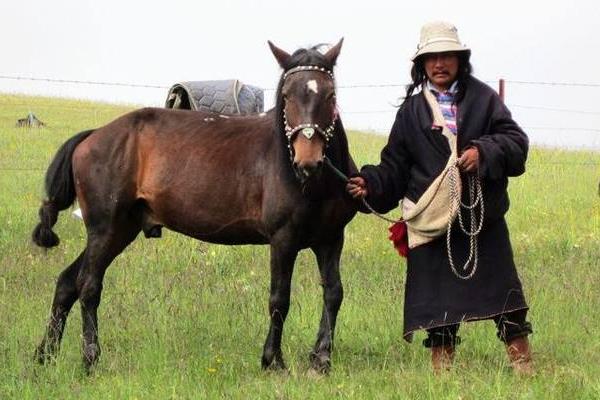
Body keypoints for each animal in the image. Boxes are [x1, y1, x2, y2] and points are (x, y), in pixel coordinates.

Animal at [32, 39, 358, 374]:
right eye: (286, 96)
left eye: (330, 95)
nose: (308, 161)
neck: (311, 183)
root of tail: (93, 136)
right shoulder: (283, 240)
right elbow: (279, 299)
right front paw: (273, 361)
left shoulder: (331, 239)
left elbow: (334, 293)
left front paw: (321, 358)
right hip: (105, 229)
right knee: (88, 285)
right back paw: (90, 358)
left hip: (121, 229)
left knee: (67, 282)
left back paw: (46, 355)